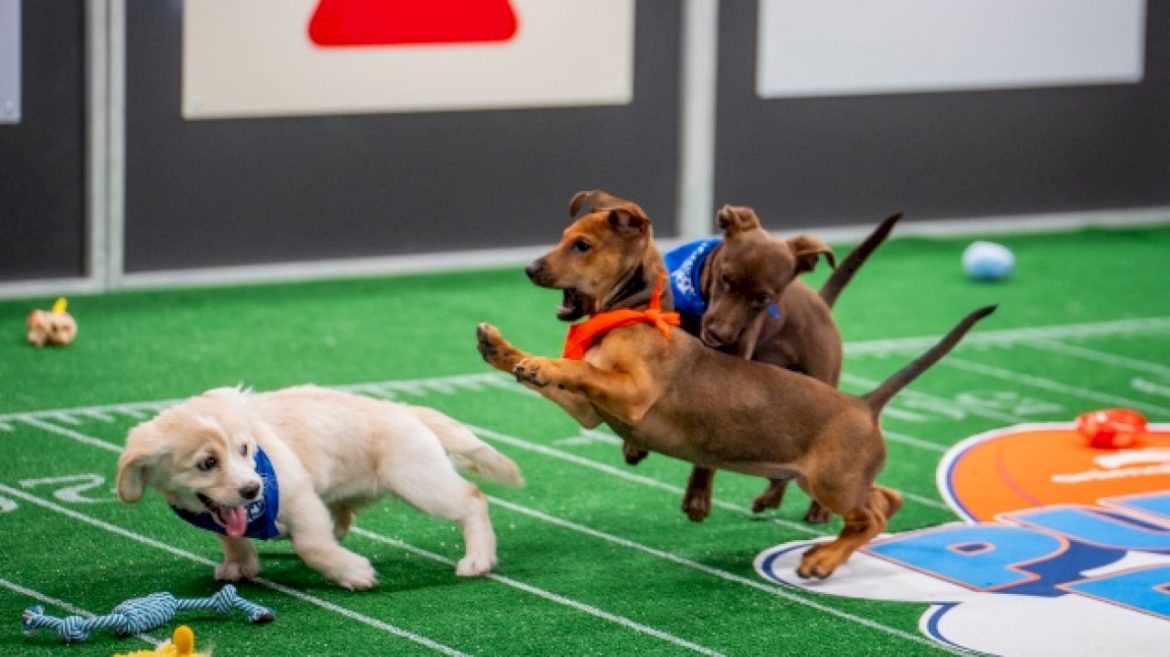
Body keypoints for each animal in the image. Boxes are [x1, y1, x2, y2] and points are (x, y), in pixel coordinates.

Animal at [116, 383, 524, 589]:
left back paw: (478, 559)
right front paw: (240, 565)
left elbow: (312, 546)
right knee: (341, 521)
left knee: (473, 499)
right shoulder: (218, 513)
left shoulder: (298, 496)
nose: (252, 490)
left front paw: (354, 574)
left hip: (419, 480)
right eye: (207, 463)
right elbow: (233, 537)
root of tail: (405, 409)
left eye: (244, 449)